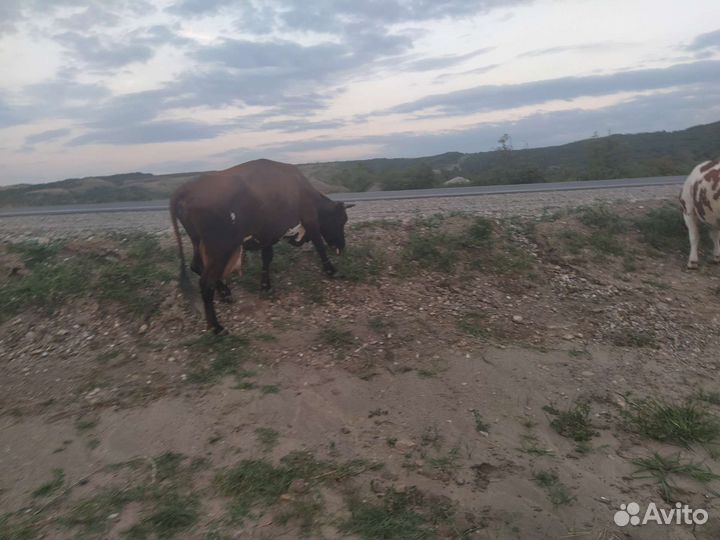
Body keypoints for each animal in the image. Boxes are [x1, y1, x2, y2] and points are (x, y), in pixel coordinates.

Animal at [170, 159, 353, 334]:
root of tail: (186, 188)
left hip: (198, 242)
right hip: (220, 249)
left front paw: (265, 286)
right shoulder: (310, 220)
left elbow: (267, 258)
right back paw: (216, 327)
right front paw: (332, 270)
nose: (342, 245)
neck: (300, 186)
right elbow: (319, 246)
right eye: (341, 219)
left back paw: (224, 292)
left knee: (196, 266)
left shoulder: (267, 236)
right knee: (206, 282)